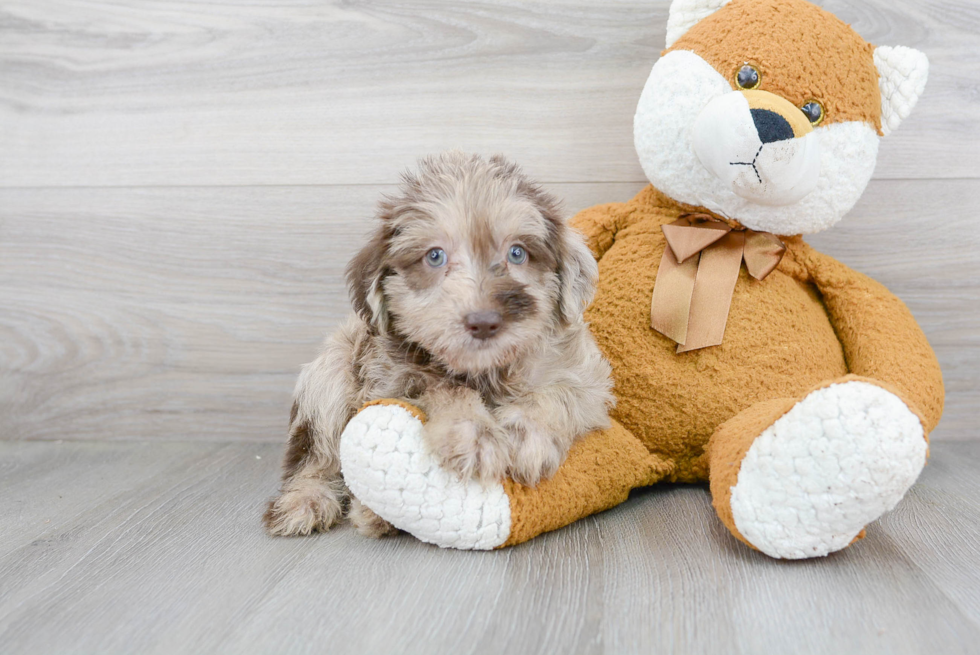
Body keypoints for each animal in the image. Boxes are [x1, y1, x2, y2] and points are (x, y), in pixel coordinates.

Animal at [260, 152, 612, 540]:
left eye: (517, 253)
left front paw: (526, 437)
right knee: (315, 456)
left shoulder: (585, 377)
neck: (485, 371)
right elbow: (443, 387)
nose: (484, 321)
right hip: (330, 371)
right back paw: (313, 501)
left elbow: (558, 393)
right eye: (434, 256)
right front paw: (473, 434)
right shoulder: (391, 379)